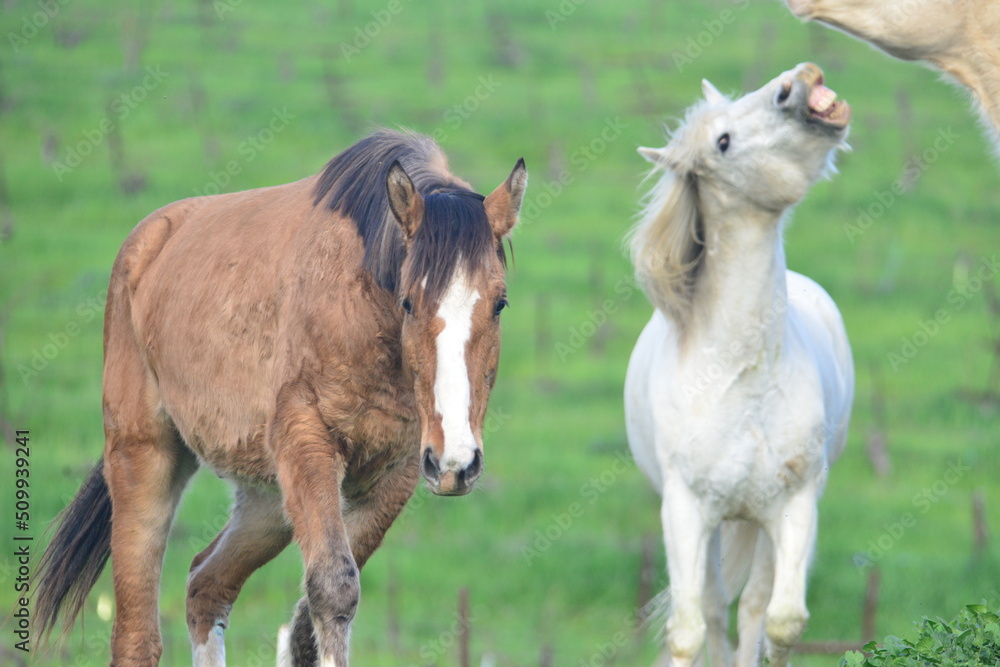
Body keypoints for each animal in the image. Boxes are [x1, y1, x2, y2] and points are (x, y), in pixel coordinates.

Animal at [31, 130, 528, 667]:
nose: (456, 462)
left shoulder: (392, 474)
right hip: (144, 459)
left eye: (499, 303)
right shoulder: (308, 443)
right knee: (136, 636)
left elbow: (309, 624)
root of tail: (143, 245)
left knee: (206, 585)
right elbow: (333, 589)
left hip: (267, 499)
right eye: (409, 302)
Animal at [624, 60, 852, 664]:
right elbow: (690, 629)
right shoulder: (685, 513)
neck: (740, 377)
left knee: (750, 606)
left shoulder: (795, 506)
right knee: (713, 606)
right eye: (722, 142)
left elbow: (779, 622)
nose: (800, 79)